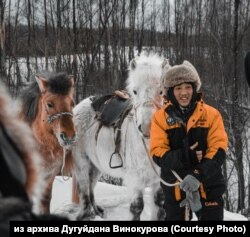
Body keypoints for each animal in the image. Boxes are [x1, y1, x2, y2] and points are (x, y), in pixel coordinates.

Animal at [72, 53, 169, 220]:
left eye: (161, 91)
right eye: (135, 91)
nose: (146, 128)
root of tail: (81, 104)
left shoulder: (158, 179)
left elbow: (160, 207)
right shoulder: (135, 179)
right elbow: (137, 207)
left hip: (96, 164)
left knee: (91, 185)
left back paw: (97, 210)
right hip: (82, 161)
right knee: (84, 188)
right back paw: (86, 214)